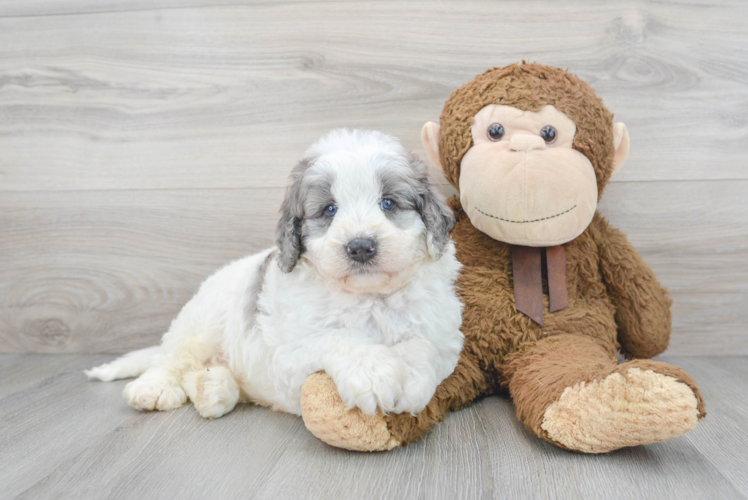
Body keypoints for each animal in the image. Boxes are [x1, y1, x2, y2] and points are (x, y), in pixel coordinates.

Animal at [86, 129, 462, 418]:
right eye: (329, 209)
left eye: (388, 203)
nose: (360, 247)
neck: (370, 298)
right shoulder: (290, 355)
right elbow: (338, 338)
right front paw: (373, 373)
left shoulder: (444, 338)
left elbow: (423, 347)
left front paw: (412, 380)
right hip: (199, 323)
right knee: (171, 357)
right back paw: (154, 388)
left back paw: (212, 387)